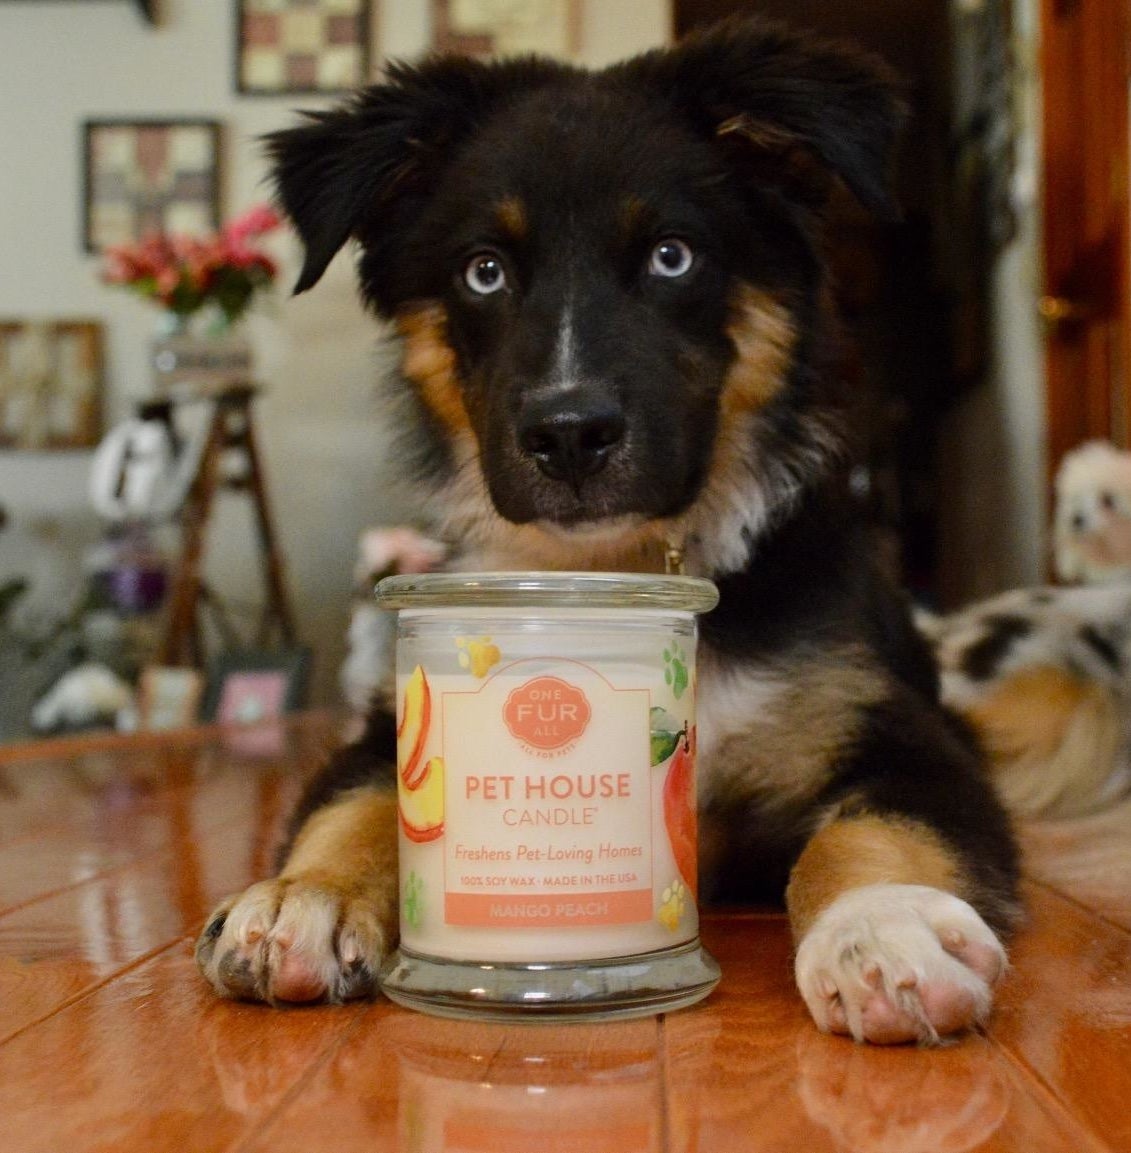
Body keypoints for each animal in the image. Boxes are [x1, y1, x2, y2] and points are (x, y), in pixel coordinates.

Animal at [195, 18, 1023, 1046]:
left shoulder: (904, 733)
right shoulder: (390, 718)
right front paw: (298, 897)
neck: (614, 570)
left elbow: (874, 827)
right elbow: (353, 799)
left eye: (672, 255)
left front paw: (883, 926)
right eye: (483, 269)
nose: (569, 434)